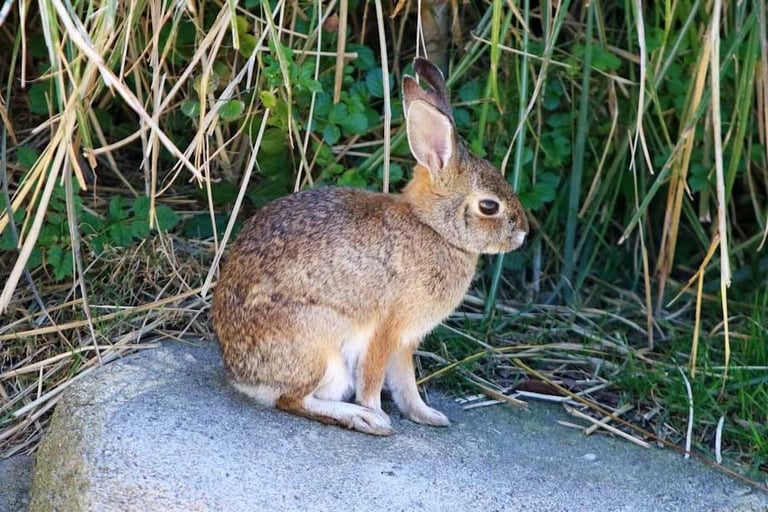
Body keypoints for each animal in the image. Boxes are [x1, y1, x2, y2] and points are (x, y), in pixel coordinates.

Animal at [212, 57, 528, 436]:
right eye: (489, 207)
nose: (523, 234)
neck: (433, 227)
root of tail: (240, 374)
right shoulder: (385, 330)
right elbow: (374, 378)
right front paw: (377, 412)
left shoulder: (406, 341)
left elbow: (406, 383)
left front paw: (428, 416)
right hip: (321, 348)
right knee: (292, 400)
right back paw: (362, 419)